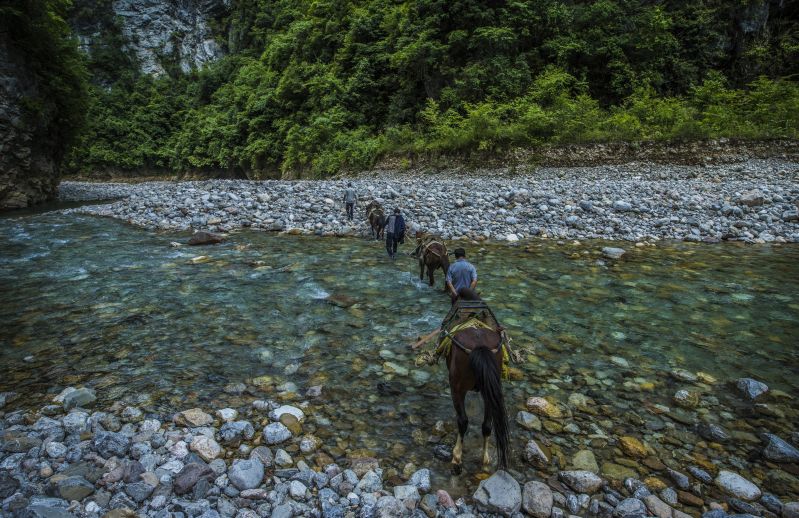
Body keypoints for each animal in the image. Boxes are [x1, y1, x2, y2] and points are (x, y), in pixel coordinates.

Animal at [446, 288, 510, 476]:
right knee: (487, 425)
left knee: (463, 421)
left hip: (457, 388)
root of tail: (480, 347)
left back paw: (457, 458)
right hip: (489, 390)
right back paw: (485, 459)